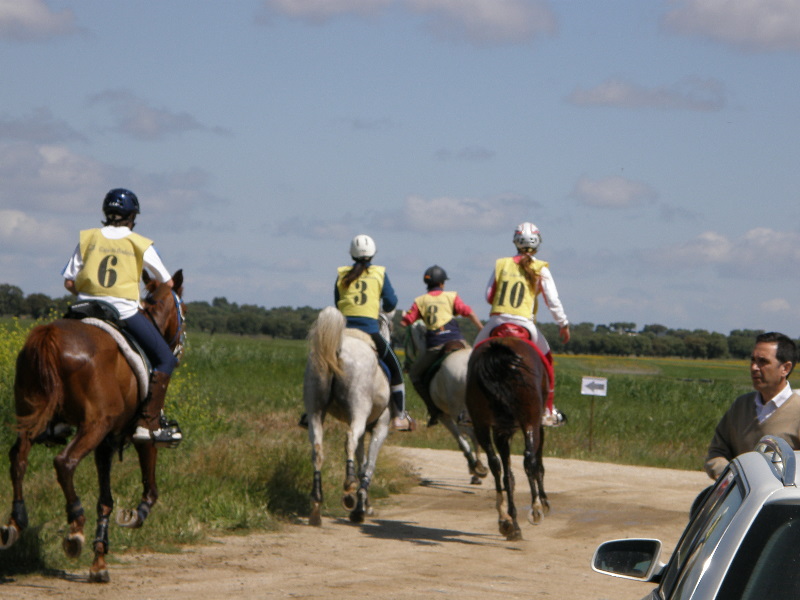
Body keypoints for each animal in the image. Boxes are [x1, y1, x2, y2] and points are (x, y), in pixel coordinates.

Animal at [0, 270, 184, 584]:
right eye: (182, 309)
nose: (180, 348)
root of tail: (49, 335)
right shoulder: (138, 433)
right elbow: (149, 486)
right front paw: (134, 516)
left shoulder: (106, 443)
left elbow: (105, 500)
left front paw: (99, 562)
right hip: (93, 425)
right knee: (64, 462)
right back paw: (75, 527)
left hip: (33, 417)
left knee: (18, 459)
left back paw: (16, 522)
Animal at [304, 308, 394, 524]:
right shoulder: (380, 427)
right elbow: (369, 465)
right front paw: (361, 506)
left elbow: (363, 462)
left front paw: (363, 503)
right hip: (358, 410)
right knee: (349, 439)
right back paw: (349, 486)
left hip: (315, 410)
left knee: (317, 448)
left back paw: (317, 504)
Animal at [406, 322, 488, 486]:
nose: (405, 365)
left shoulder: (444, 415)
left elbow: (461, 440)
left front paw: (473, 467)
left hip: (458, 412)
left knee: (472, 434)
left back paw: (479, 468)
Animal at [462, 336, 552, 540]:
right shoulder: (536, 424)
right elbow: (537, 464)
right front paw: (543, 501)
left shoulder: (501, 432)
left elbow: (508, 476)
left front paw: (512, 521)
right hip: (530, 420)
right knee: (529, 460)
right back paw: (536, 509)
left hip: (481, 424)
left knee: (495, 464)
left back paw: (505, 520)